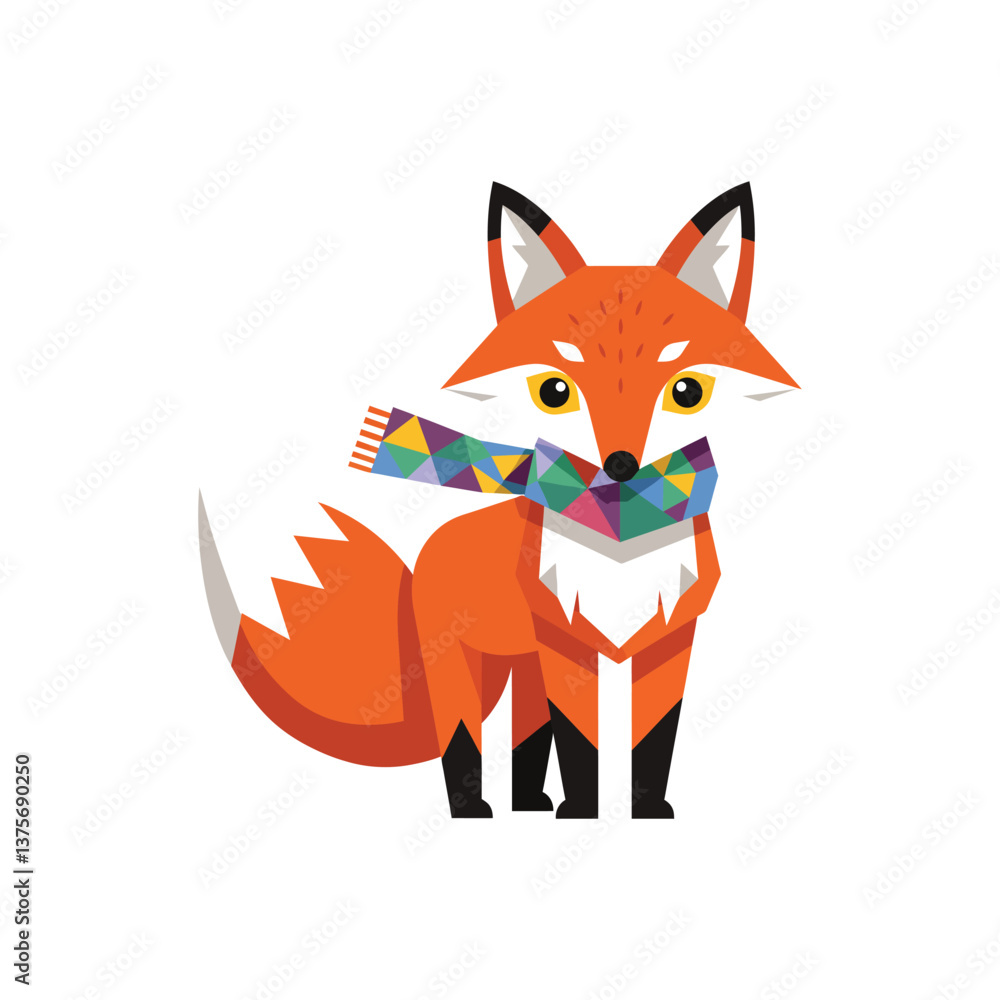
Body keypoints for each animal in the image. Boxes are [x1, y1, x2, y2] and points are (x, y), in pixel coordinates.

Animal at [200, 180, 798, 819]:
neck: (619, 535)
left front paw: (646, 811)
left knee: (526, 736)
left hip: (522, 666)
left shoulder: (670, 637)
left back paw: (531, 802)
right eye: (554, 391)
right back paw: (473, 810)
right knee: (462, 736)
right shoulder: (565, 644)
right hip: (468, 667)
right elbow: (581, 741)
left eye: (687, 391)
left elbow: (653, 739)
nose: (620, 466)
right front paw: (583, 813)